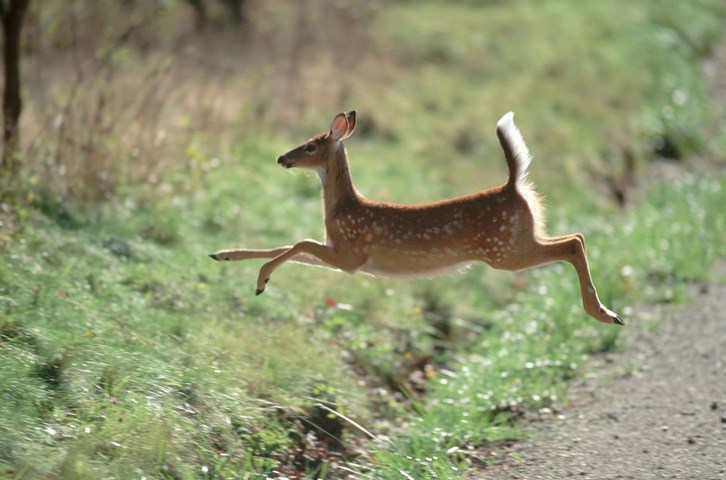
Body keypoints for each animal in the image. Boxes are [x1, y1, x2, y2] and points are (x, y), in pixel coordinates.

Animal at [210, 110, 624, 324]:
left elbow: (298, 242)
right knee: (576, 238)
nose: (282, 157)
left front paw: (260, 281)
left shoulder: (351, 254)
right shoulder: (341, 255)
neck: (344, 208)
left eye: (311, 145)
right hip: (519, 240)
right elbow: (289, 246)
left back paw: (604, 313)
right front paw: (223, 254)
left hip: (504, 250)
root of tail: (513, 185)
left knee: (572, 243)